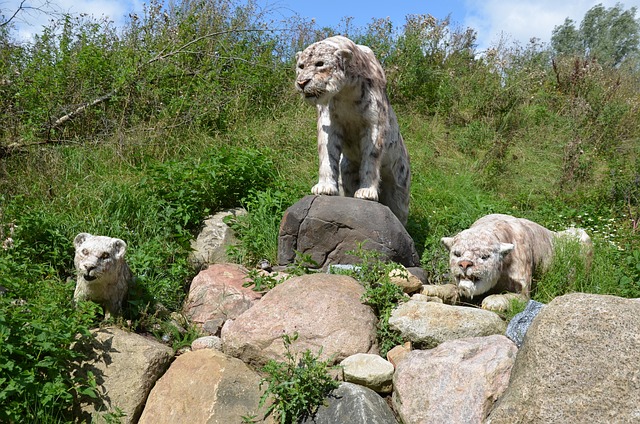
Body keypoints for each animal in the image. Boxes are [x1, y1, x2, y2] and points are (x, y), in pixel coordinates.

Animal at [294, 37, 410, 225]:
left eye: (320, 63)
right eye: (301, 66)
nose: (302, 82)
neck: (345, 94)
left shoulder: (374, 122)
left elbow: (371, 156)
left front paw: (366, 192)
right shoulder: (329, 120)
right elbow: (327, 153)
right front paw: (324, 188)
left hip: (400, 185)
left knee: (399, 208)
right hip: (346, 173)